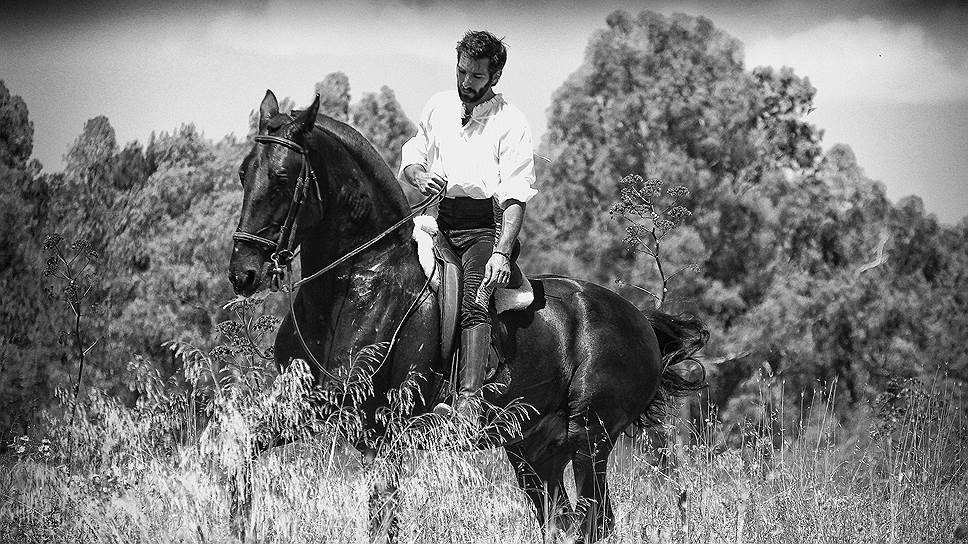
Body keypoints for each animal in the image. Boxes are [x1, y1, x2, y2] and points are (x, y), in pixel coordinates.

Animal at [230, 91, 708, 540]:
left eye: (281, 179)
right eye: (243, 173)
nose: (243, 273)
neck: (361, 280)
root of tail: (640, 321)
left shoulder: (384, 432)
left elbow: (382, 520)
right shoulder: (303, 406)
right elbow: (239, 445)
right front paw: (238, 520)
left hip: (589, 439)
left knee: (596, 520)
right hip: (533, 449)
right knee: (559, 519)